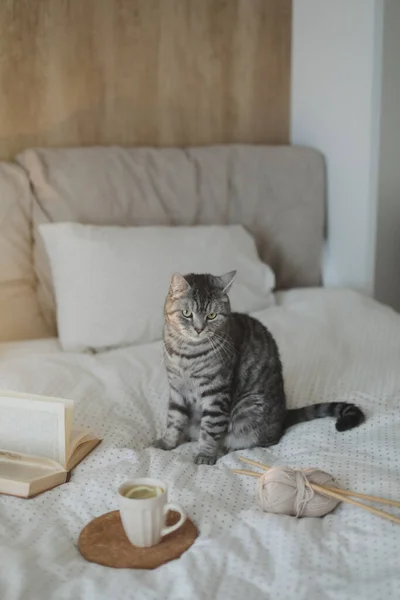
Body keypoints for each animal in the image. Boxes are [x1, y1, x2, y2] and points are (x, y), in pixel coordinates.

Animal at [154, 272, 366, 464]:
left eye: (211, 315)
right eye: (187, 314)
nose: (199, 329)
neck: (186, 354)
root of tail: (284, 414)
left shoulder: (216, 393)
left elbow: (210, 429)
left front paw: (205, 455)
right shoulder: (177, 390)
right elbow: (174, 419)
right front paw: (166, 443)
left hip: (248, 408)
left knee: (263, 440)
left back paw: (226, 448)